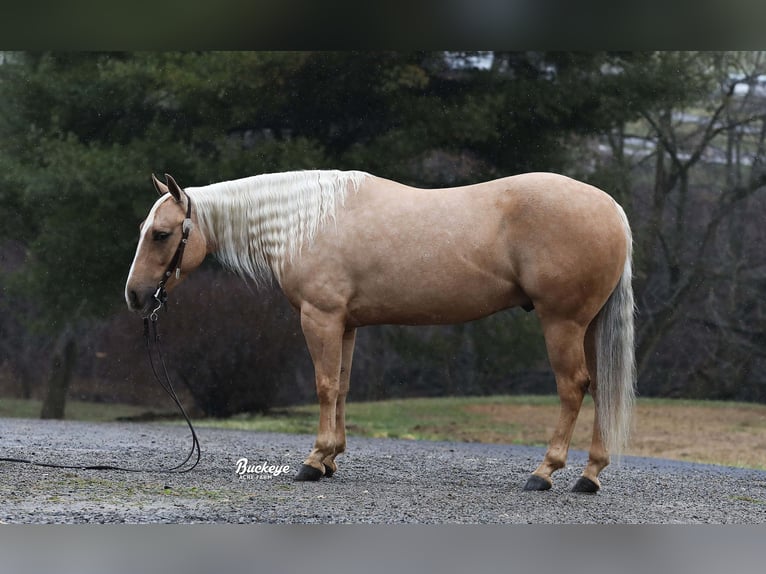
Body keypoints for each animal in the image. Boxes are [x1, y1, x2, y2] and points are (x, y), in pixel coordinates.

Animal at [126, 171, 636, 496]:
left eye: (161, 234)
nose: (134, 295)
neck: (308, 222)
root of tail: (611, 207)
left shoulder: (320, 317)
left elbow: (324, 385)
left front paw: (313, 461)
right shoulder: (346, 324)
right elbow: (342, 386)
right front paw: (331, 458)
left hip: (562, 323)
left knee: (573, 388)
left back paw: (545, 473)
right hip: (587, 326)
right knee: (600, 389)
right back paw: (589, 476)